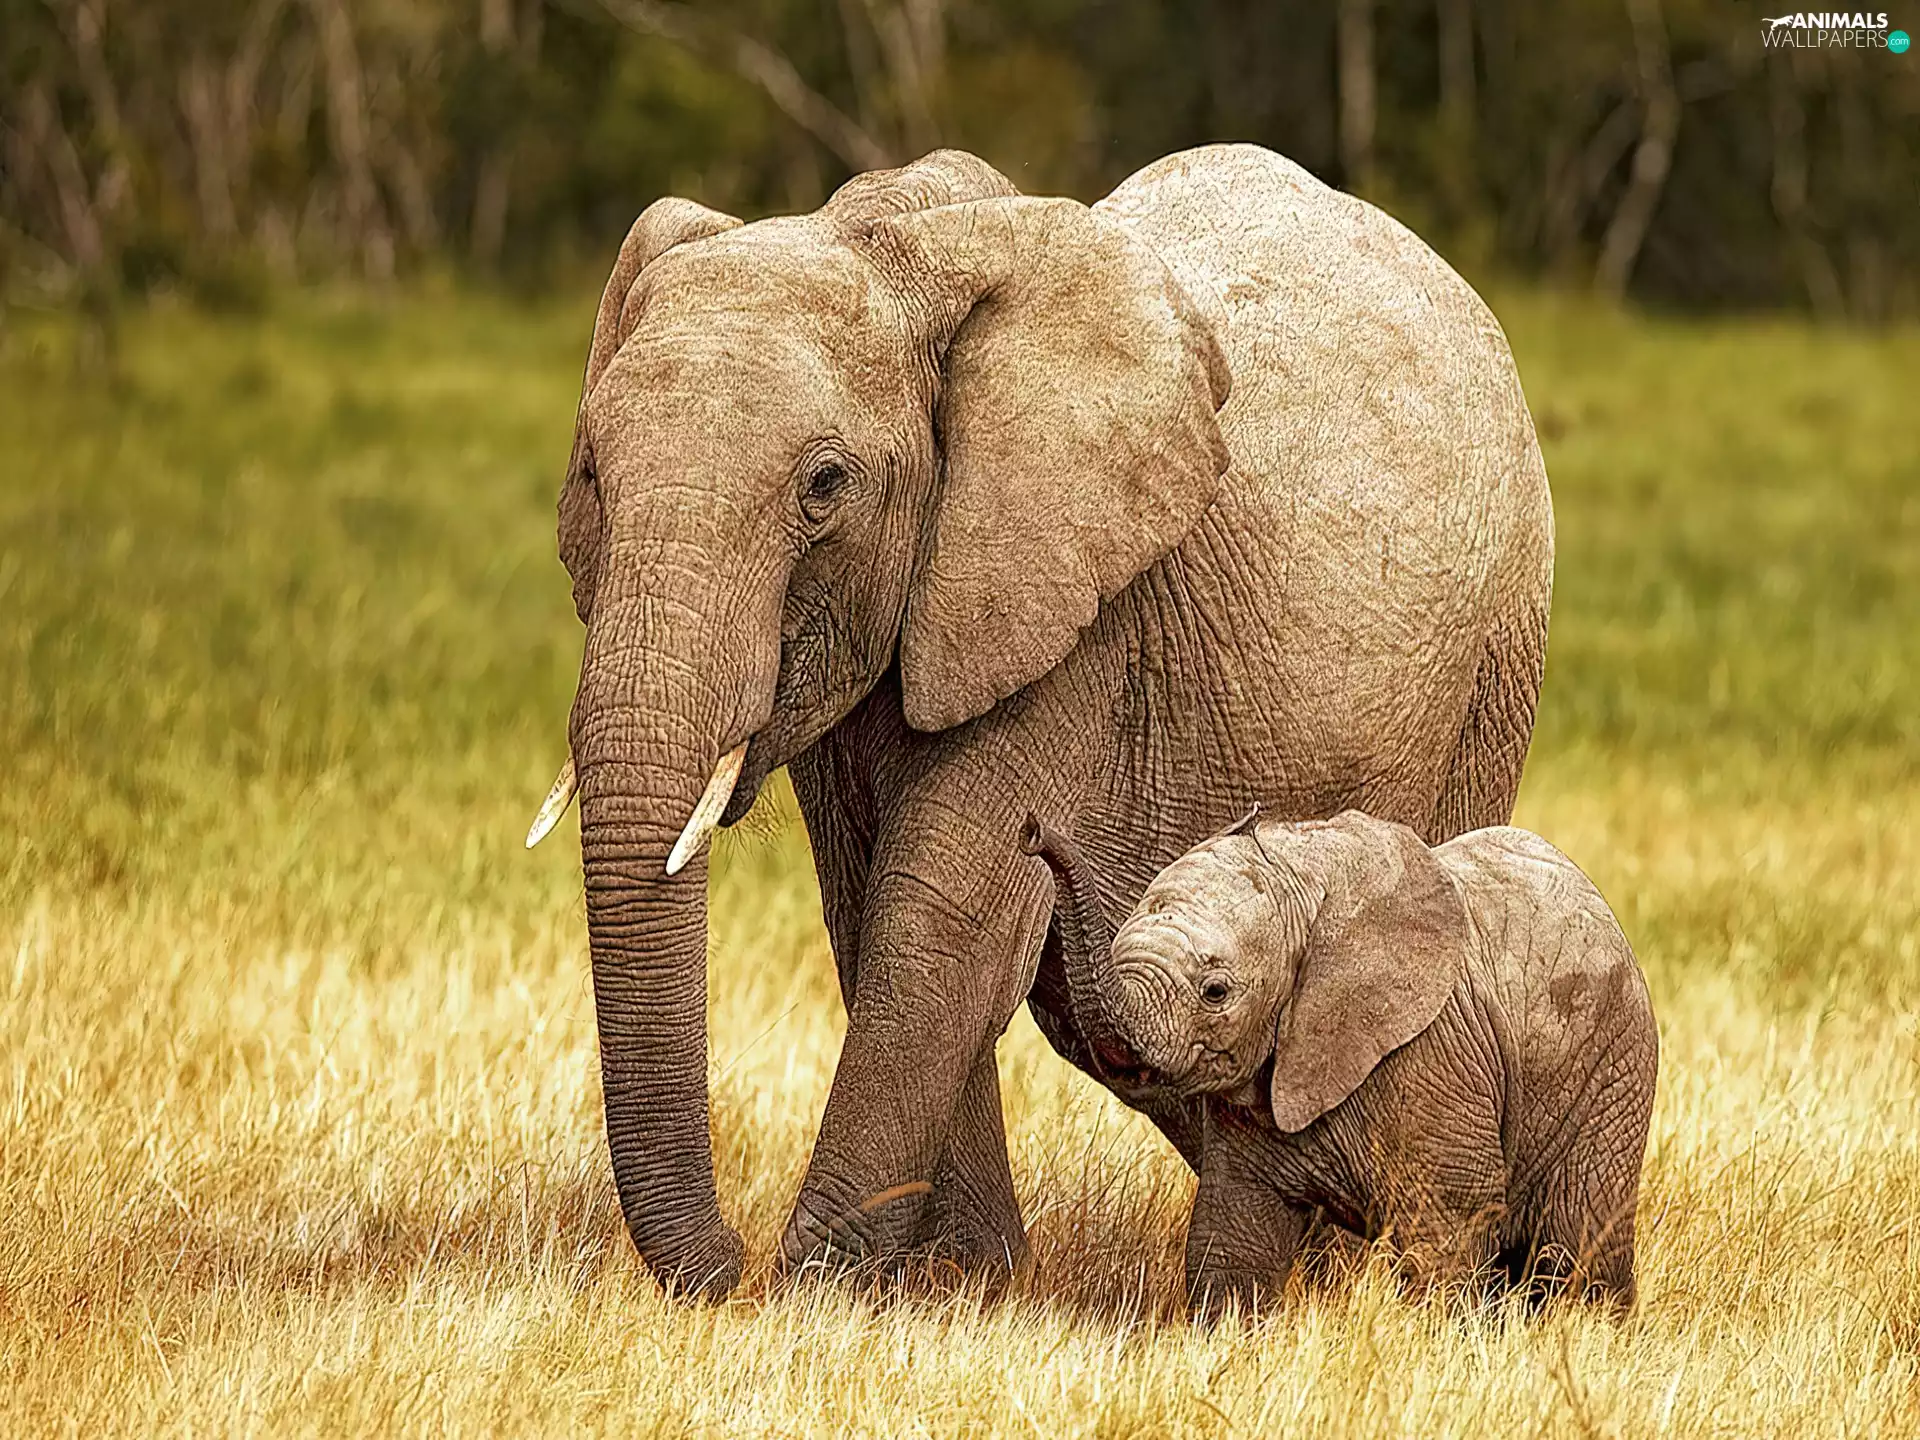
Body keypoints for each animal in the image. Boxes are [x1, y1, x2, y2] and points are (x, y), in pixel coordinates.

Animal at [524, 142, 1554, 1300]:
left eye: (825, 486)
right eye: (593, 474)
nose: (728, 1267)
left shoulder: (1078, 617)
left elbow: (943, 912)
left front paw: (825, 1287)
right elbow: (872, 905)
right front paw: (956, 1287)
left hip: (1493, 659)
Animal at [1021, 809, 1657, 1314]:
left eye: (1216, 991)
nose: (1032, 829)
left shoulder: (1431, 1059)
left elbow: (1446, 1227)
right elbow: (1233, 1234)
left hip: (1611, 1072)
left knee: (1576, 1243)